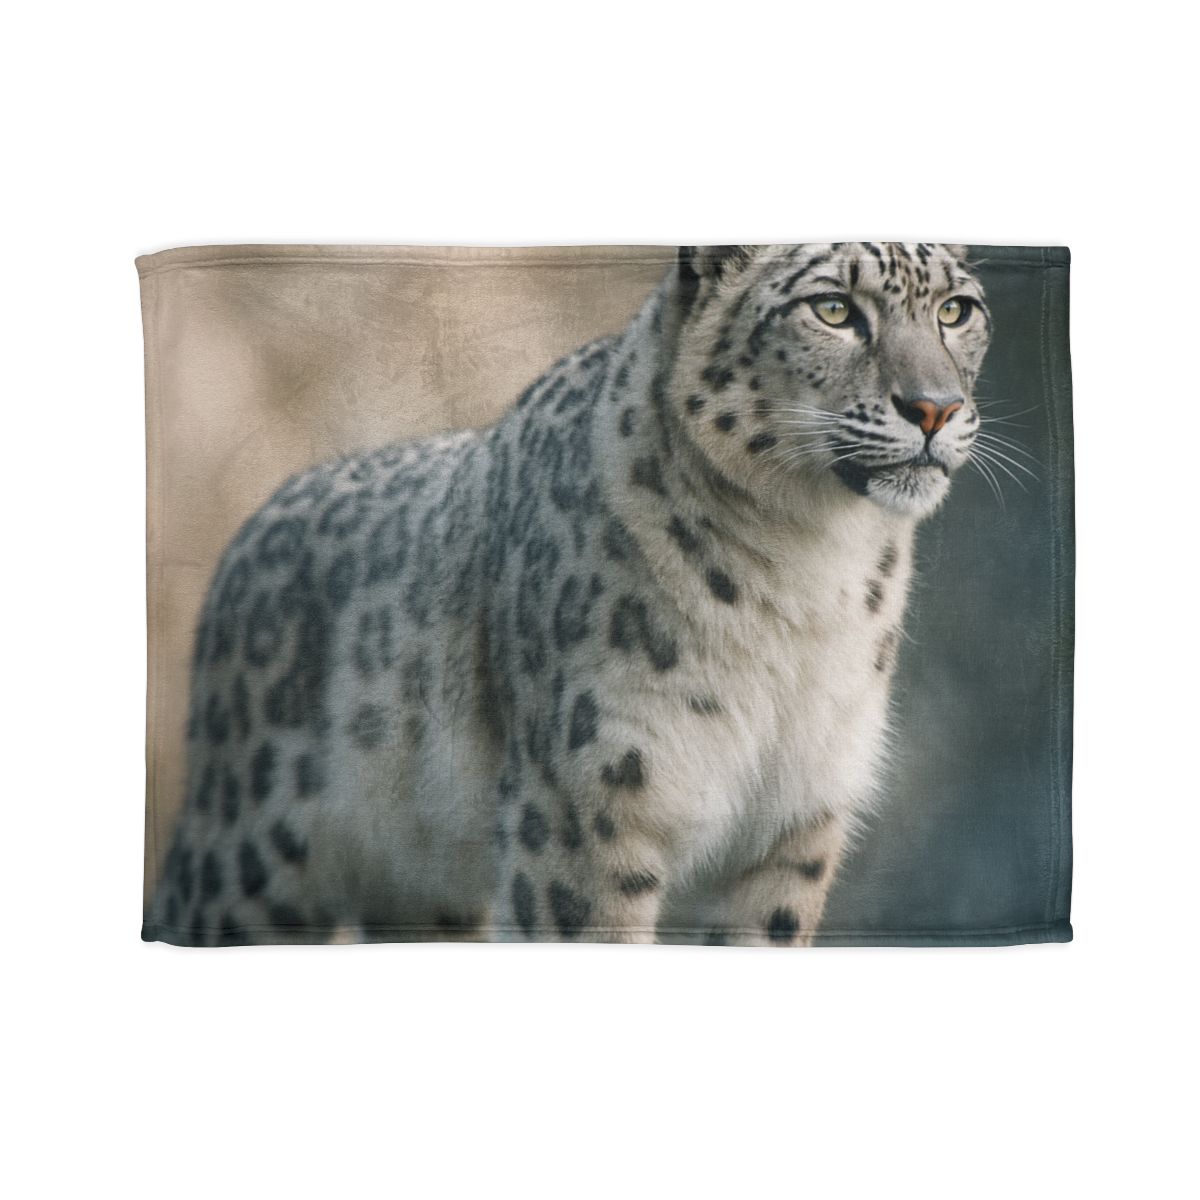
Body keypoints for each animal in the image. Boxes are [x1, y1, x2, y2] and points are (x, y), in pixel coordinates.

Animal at [144, 241, 992, 947]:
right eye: (834, 309)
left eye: (955, 310)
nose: (935, 407)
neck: (810, 569)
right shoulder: (587, 806)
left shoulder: (795, 821)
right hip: (249, 861)